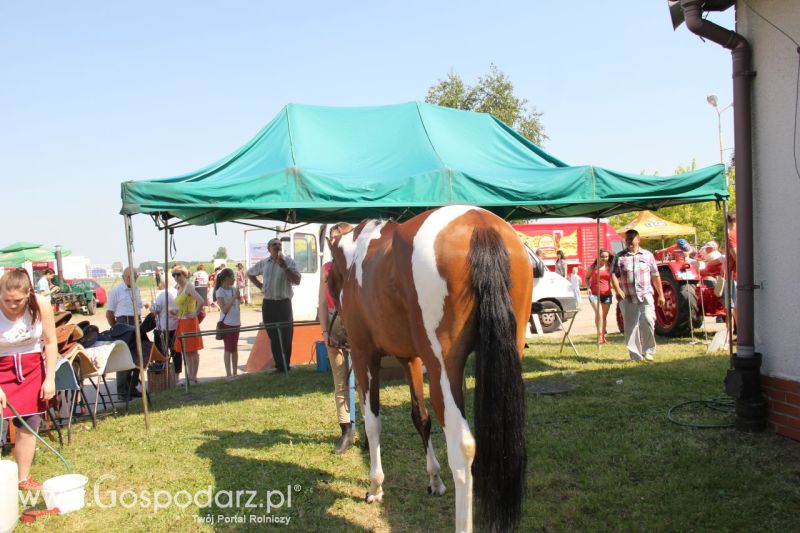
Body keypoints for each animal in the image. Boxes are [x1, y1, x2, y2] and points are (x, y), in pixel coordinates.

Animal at [328, 205, 536, 532]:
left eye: (327, 280)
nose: (335, 338)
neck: (358, 255)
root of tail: (480, 225)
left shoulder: (364, 356)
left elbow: (372, 421)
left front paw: (375, 487)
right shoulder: (410, 359)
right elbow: (420, 417)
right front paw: (435, 479)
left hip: (443, 369)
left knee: (463, 447)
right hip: (506, 358)